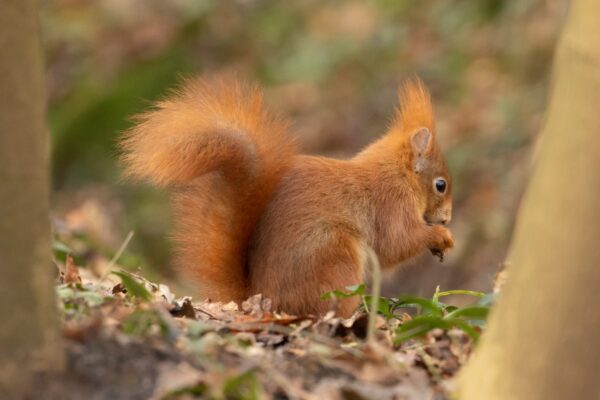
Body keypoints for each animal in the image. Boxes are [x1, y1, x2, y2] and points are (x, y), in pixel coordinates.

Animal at [119, 76, 452, 318]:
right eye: (441, 185)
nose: (447, 218)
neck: (398, 173)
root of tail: (260, 299)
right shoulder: (392, 204)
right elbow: (396, 243)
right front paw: (440, 237)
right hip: (335, 259)